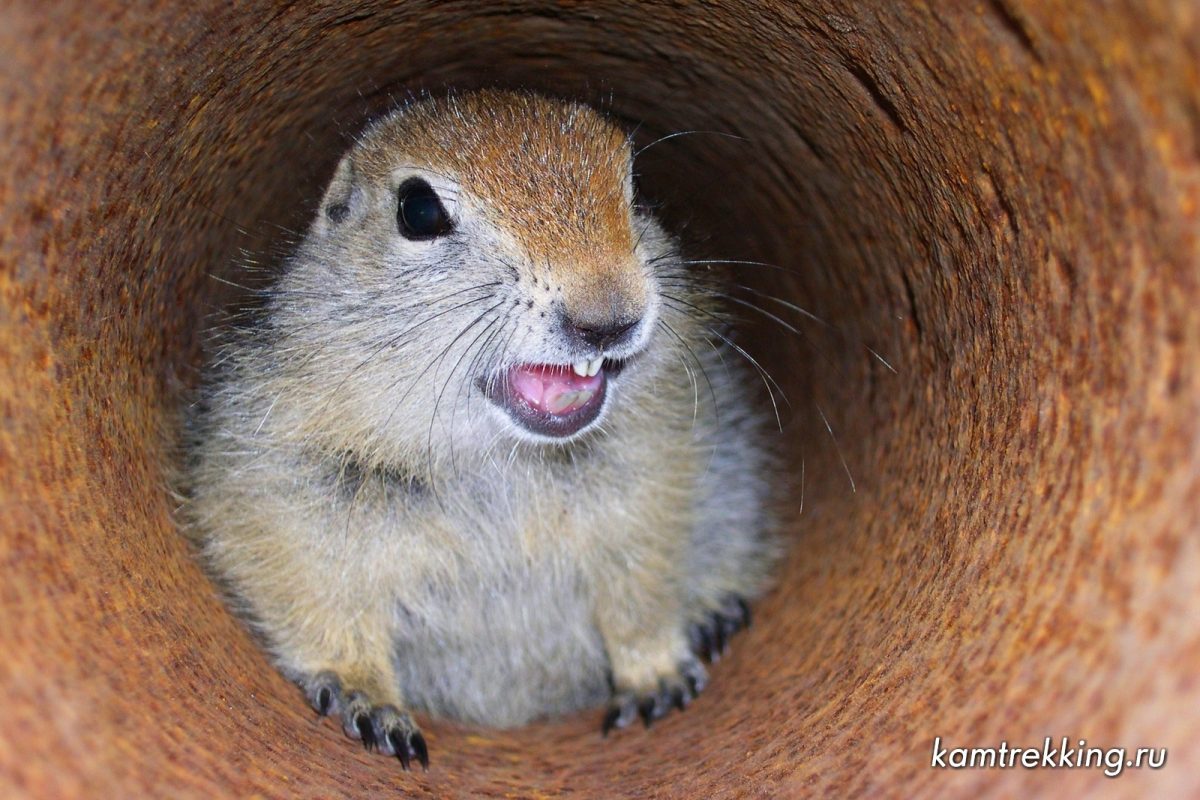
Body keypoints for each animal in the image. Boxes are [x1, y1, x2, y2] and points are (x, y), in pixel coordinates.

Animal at [182, 90, 772, 772]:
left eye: (636, 188)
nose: (609, 318)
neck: (496, 456)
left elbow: (643, 593)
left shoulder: (656, 485)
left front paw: (658, 676)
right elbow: (312, 600)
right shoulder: (276, 484)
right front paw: (367, 699)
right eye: (418, 209)